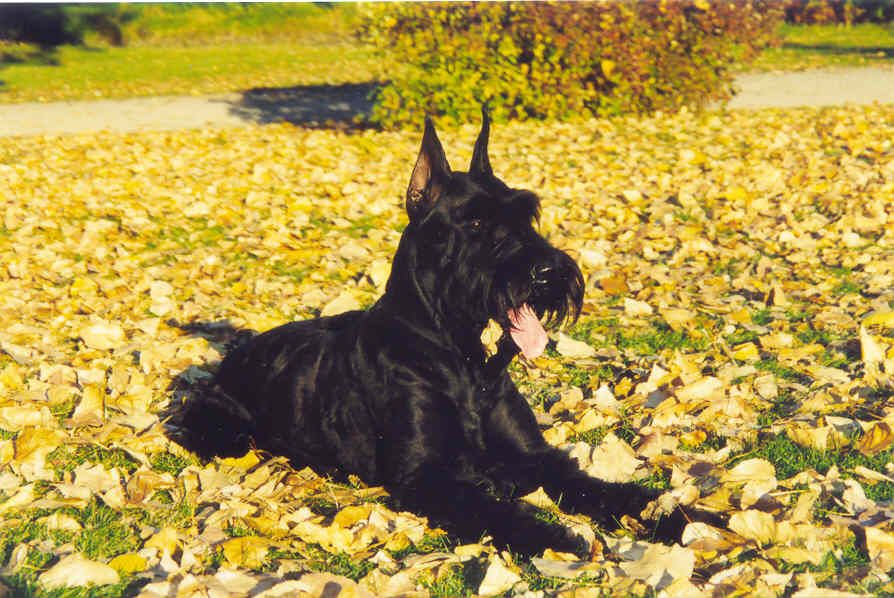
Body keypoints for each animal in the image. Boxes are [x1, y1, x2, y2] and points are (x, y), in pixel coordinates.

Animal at [188, 110, 722, 556]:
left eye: (527, 213)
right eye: (477, 222)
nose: (550, 273)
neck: (460, 359)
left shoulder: (533, 454)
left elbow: (600, 488)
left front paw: (678, 518)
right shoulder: (426, 476)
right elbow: (495, 509)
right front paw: (555, 538)